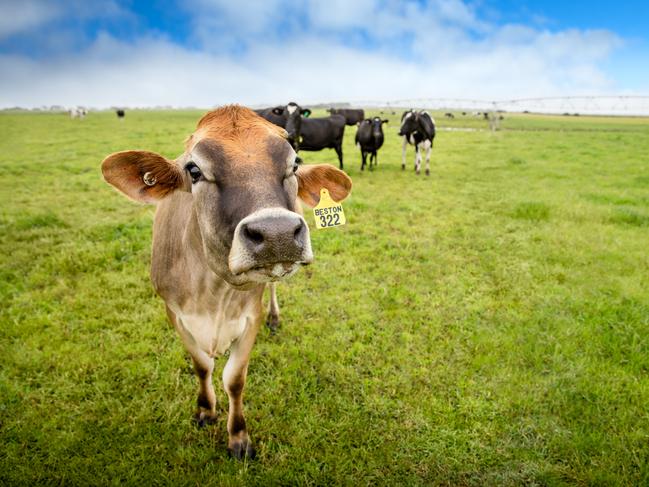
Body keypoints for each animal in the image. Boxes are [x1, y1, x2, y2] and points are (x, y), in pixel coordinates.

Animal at [102, 105, 352, 460]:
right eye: (193, 170)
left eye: (294, 164)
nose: (276, 233)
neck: (213, 293)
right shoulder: (174, 313)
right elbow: (202, 366)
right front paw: (206, 411)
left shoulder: (249, 317)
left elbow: (234, 379)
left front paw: (239, 438)